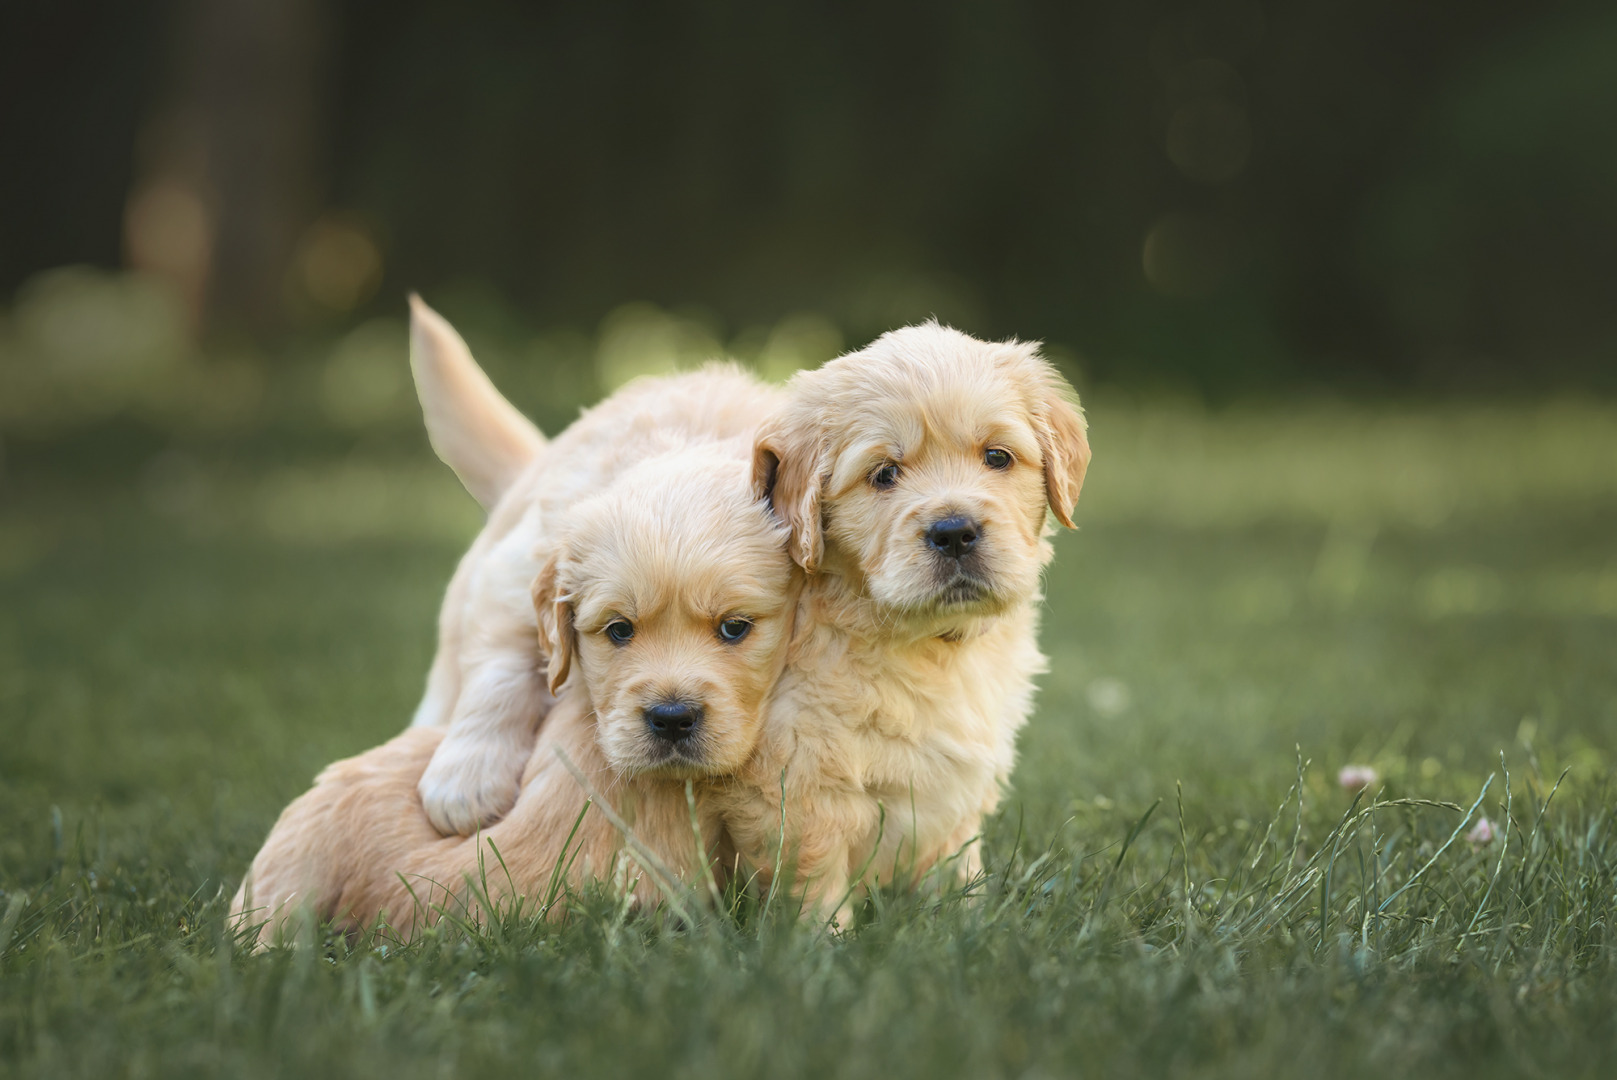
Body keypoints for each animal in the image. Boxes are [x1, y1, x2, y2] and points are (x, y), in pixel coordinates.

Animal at [404, 297, 782, 834]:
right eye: (619, 630)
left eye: (734, 629)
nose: (671, 718)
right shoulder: (513, 571)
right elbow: (500, 666)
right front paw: (466, 781)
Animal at [717, 320, 1086, 918]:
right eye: (884, 474)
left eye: (997, 457)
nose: (955, 532)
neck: (926, 644)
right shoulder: (798, 783)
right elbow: (813, 879)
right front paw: (823, 938)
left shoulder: (955, 782)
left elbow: (955, 858)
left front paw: (969, 919)